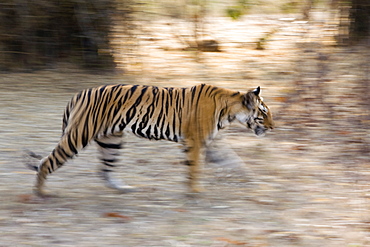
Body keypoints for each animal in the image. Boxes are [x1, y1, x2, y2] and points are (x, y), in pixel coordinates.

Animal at [26, 84, 274, 197]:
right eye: (264, 113)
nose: (273, 127)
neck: (229, 111)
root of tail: (79, 93)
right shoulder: (194, 141)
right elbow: (194, 168)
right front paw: (195, 191)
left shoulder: (211, 142)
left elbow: (235, 161)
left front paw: (256, 183)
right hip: (79, 135)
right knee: (47, 162)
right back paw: (41, 193)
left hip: (111, 141)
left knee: (105, 170)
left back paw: (124, 188)